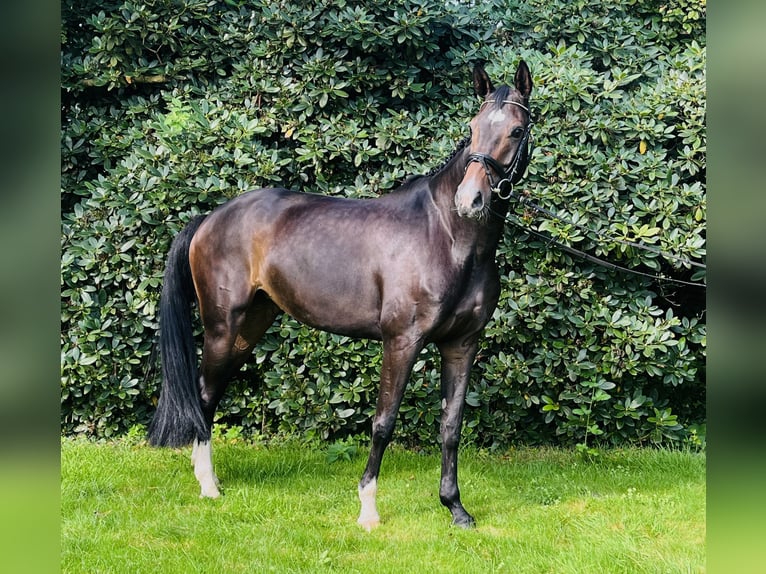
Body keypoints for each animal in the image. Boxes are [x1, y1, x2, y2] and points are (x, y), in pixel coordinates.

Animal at [148, 59, 536, 532]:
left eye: (516, 130)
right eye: (473, 127)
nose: (471, 199)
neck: (448, 235)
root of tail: (210, 217)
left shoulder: (462, 344)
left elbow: (451, 426)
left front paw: (455, 508)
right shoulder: (401, 341)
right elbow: (383, 423)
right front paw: (368, 510)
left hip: (249, 327)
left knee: (210, 394)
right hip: (223, 327)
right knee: (203, 396)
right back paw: (208, 486)